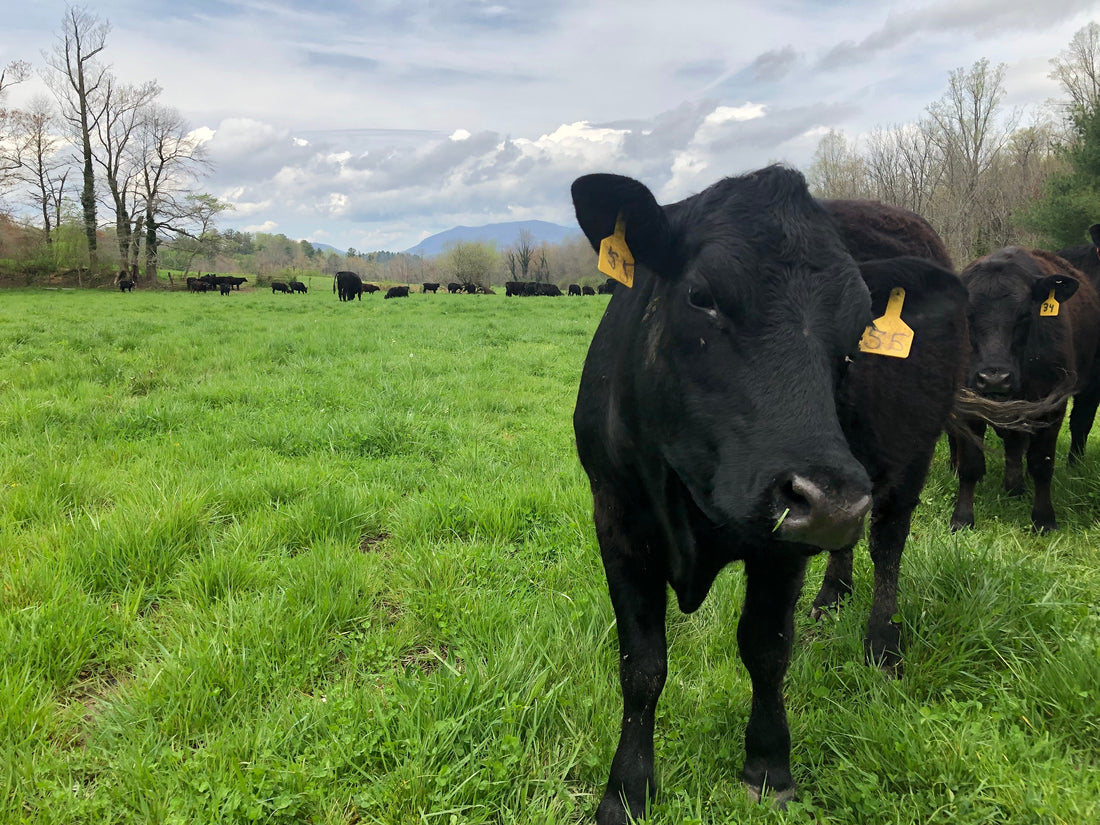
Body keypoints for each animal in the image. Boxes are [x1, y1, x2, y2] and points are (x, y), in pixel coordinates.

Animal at [571, 166, 967, 824]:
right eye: (700, 296)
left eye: (862, 325)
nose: (831, 500)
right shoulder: (618, 518)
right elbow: (642, 664)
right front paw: (626, 791)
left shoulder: (782, 544)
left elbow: (765, 649)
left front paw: (768, 766)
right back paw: (832, 596)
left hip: (908, 462)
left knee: (887, 550)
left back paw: (881, 647)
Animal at [950, 246, 1100, 533]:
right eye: (967, 316)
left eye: (1025, 315)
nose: (994, 378)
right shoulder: (967, 405)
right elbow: (970, 464)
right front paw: (962, 518)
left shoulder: (1050, 405)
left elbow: (1041, 462)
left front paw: (1044, 519)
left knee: (1080, 425)